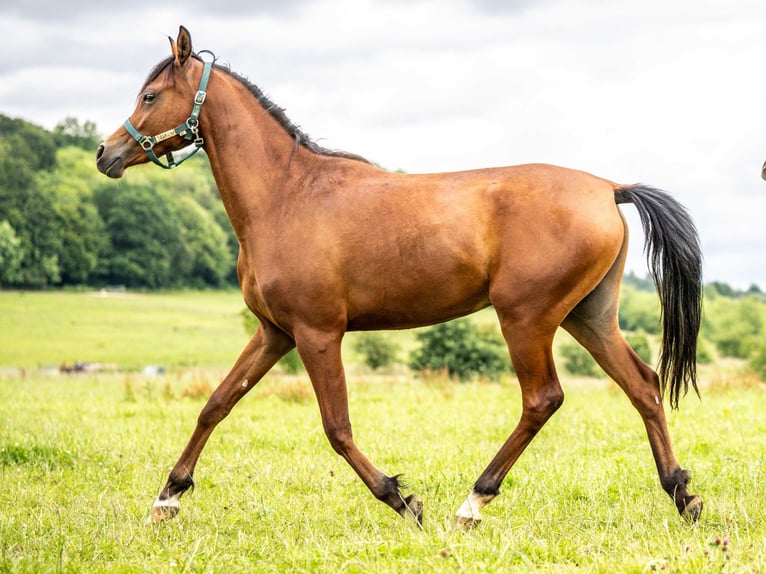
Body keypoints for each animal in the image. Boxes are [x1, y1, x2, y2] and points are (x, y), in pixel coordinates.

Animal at [94, 27, 704, 532]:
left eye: (150, 97)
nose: (106, 153)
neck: (286, 195)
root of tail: (608, 188)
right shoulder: (275, 333)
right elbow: (216, 405)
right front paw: (168, 497)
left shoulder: (317, 334)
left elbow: (336, 428)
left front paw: (401, 498)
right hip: (588, 317)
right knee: (644, 386)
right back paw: (682, 495)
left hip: (526, 319)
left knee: (543, 399)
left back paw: (472, 503)